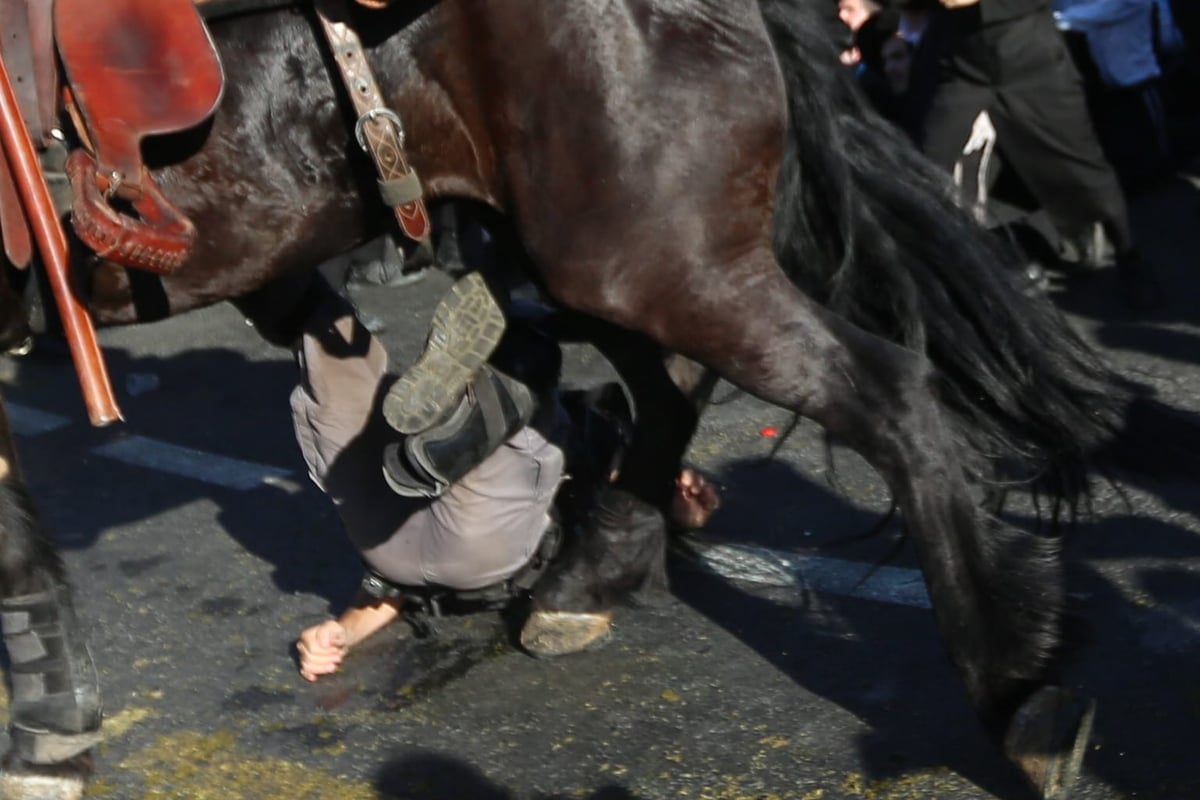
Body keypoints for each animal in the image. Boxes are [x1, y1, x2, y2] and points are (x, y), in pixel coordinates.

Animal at [2, 0, 1190, 796]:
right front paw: (52, 715)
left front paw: (45, 728)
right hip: (602, 252)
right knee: (668, 391)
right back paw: (592, 566)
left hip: (642, 256)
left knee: (885, 392)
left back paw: (1016, 687)